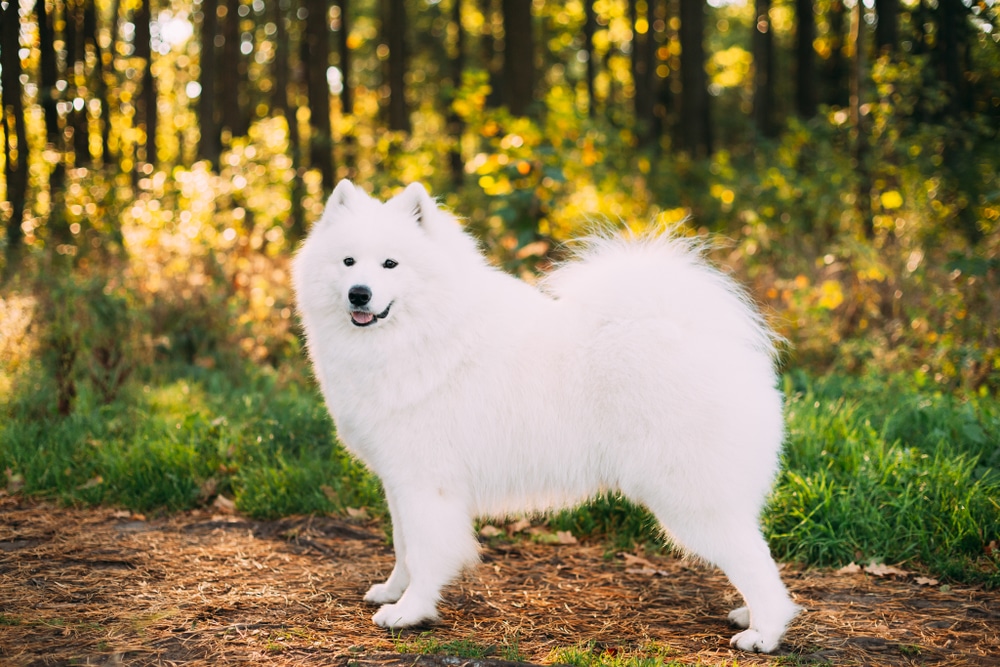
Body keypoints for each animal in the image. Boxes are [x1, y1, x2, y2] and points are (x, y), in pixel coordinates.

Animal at [292, 179, 800, 652]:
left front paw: (409, 611)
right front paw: (391, 591)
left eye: (390, 265)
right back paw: (749, 614)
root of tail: (704, 337)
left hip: (688, 496)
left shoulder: (426, 483)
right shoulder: (399, 481)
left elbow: (424, 552)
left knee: (755, 562)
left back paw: (763, 633)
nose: (359, 294)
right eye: (348, 262)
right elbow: (402, 546)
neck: (424, 332)